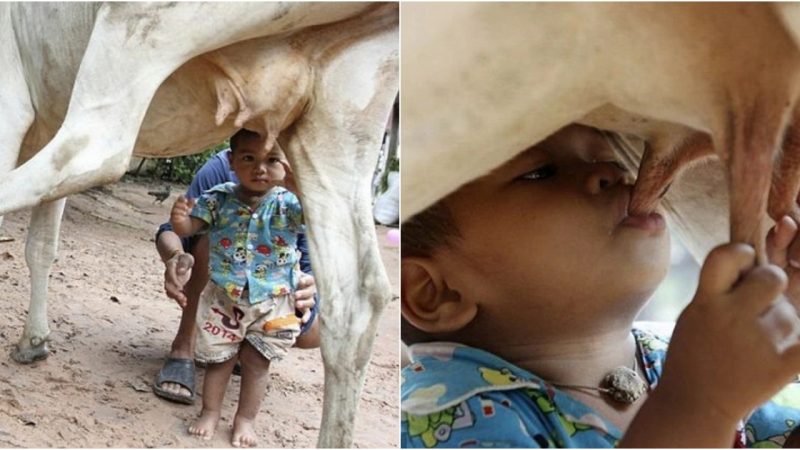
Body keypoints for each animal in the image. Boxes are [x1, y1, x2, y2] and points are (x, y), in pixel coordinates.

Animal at [0, 2, 398, 446]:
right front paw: (34, 341)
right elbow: (42, 245)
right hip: (341, 117)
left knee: (89, 151)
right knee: (359, 300)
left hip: (140, 26)